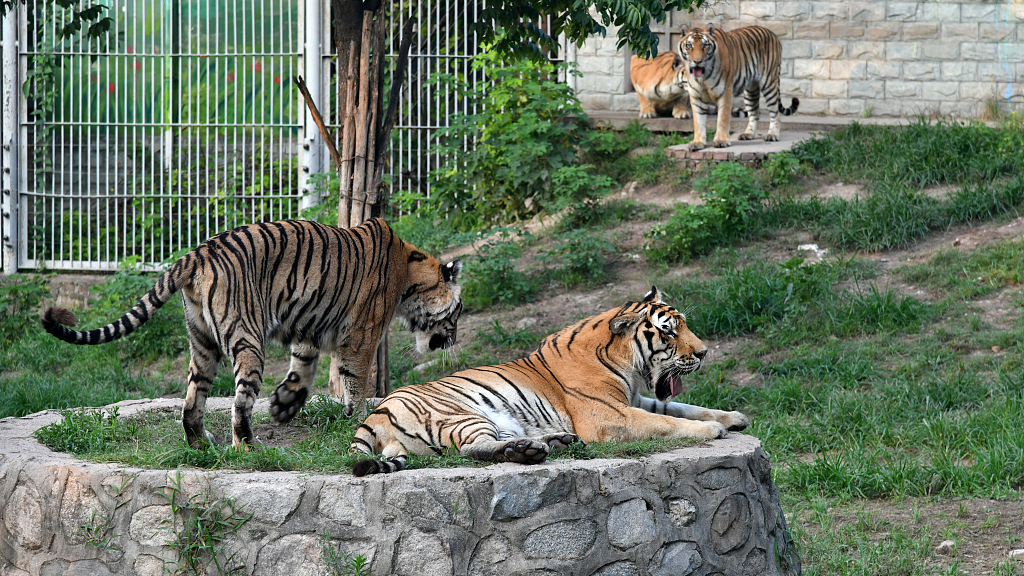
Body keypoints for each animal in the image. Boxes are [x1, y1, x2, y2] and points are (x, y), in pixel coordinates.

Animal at [41, 217, 462, 446]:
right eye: (458, 313)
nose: (454, 340)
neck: (409, 278)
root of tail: (196, 253)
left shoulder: (310, 326)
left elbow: (302, 368)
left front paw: (284, 405)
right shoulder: (361, 334)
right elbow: (356, 380)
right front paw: (357, 416)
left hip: (202, 342)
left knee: (191, 403)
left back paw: (202, 445)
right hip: (246, 338)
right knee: (239, 402)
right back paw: (247, 445)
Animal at [350, 286, 745, 475]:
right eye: (669, 332)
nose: (704, 352)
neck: (627, 364)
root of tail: (374, 414)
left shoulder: (633, 399)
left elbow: (682, 406)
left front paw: (733, 417)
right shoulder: (609, 414)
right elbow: (666, 421)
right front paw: (712, 430)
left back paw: (555, 442)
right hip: (461, 415)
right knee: (472, 449)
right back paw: (530, 451)